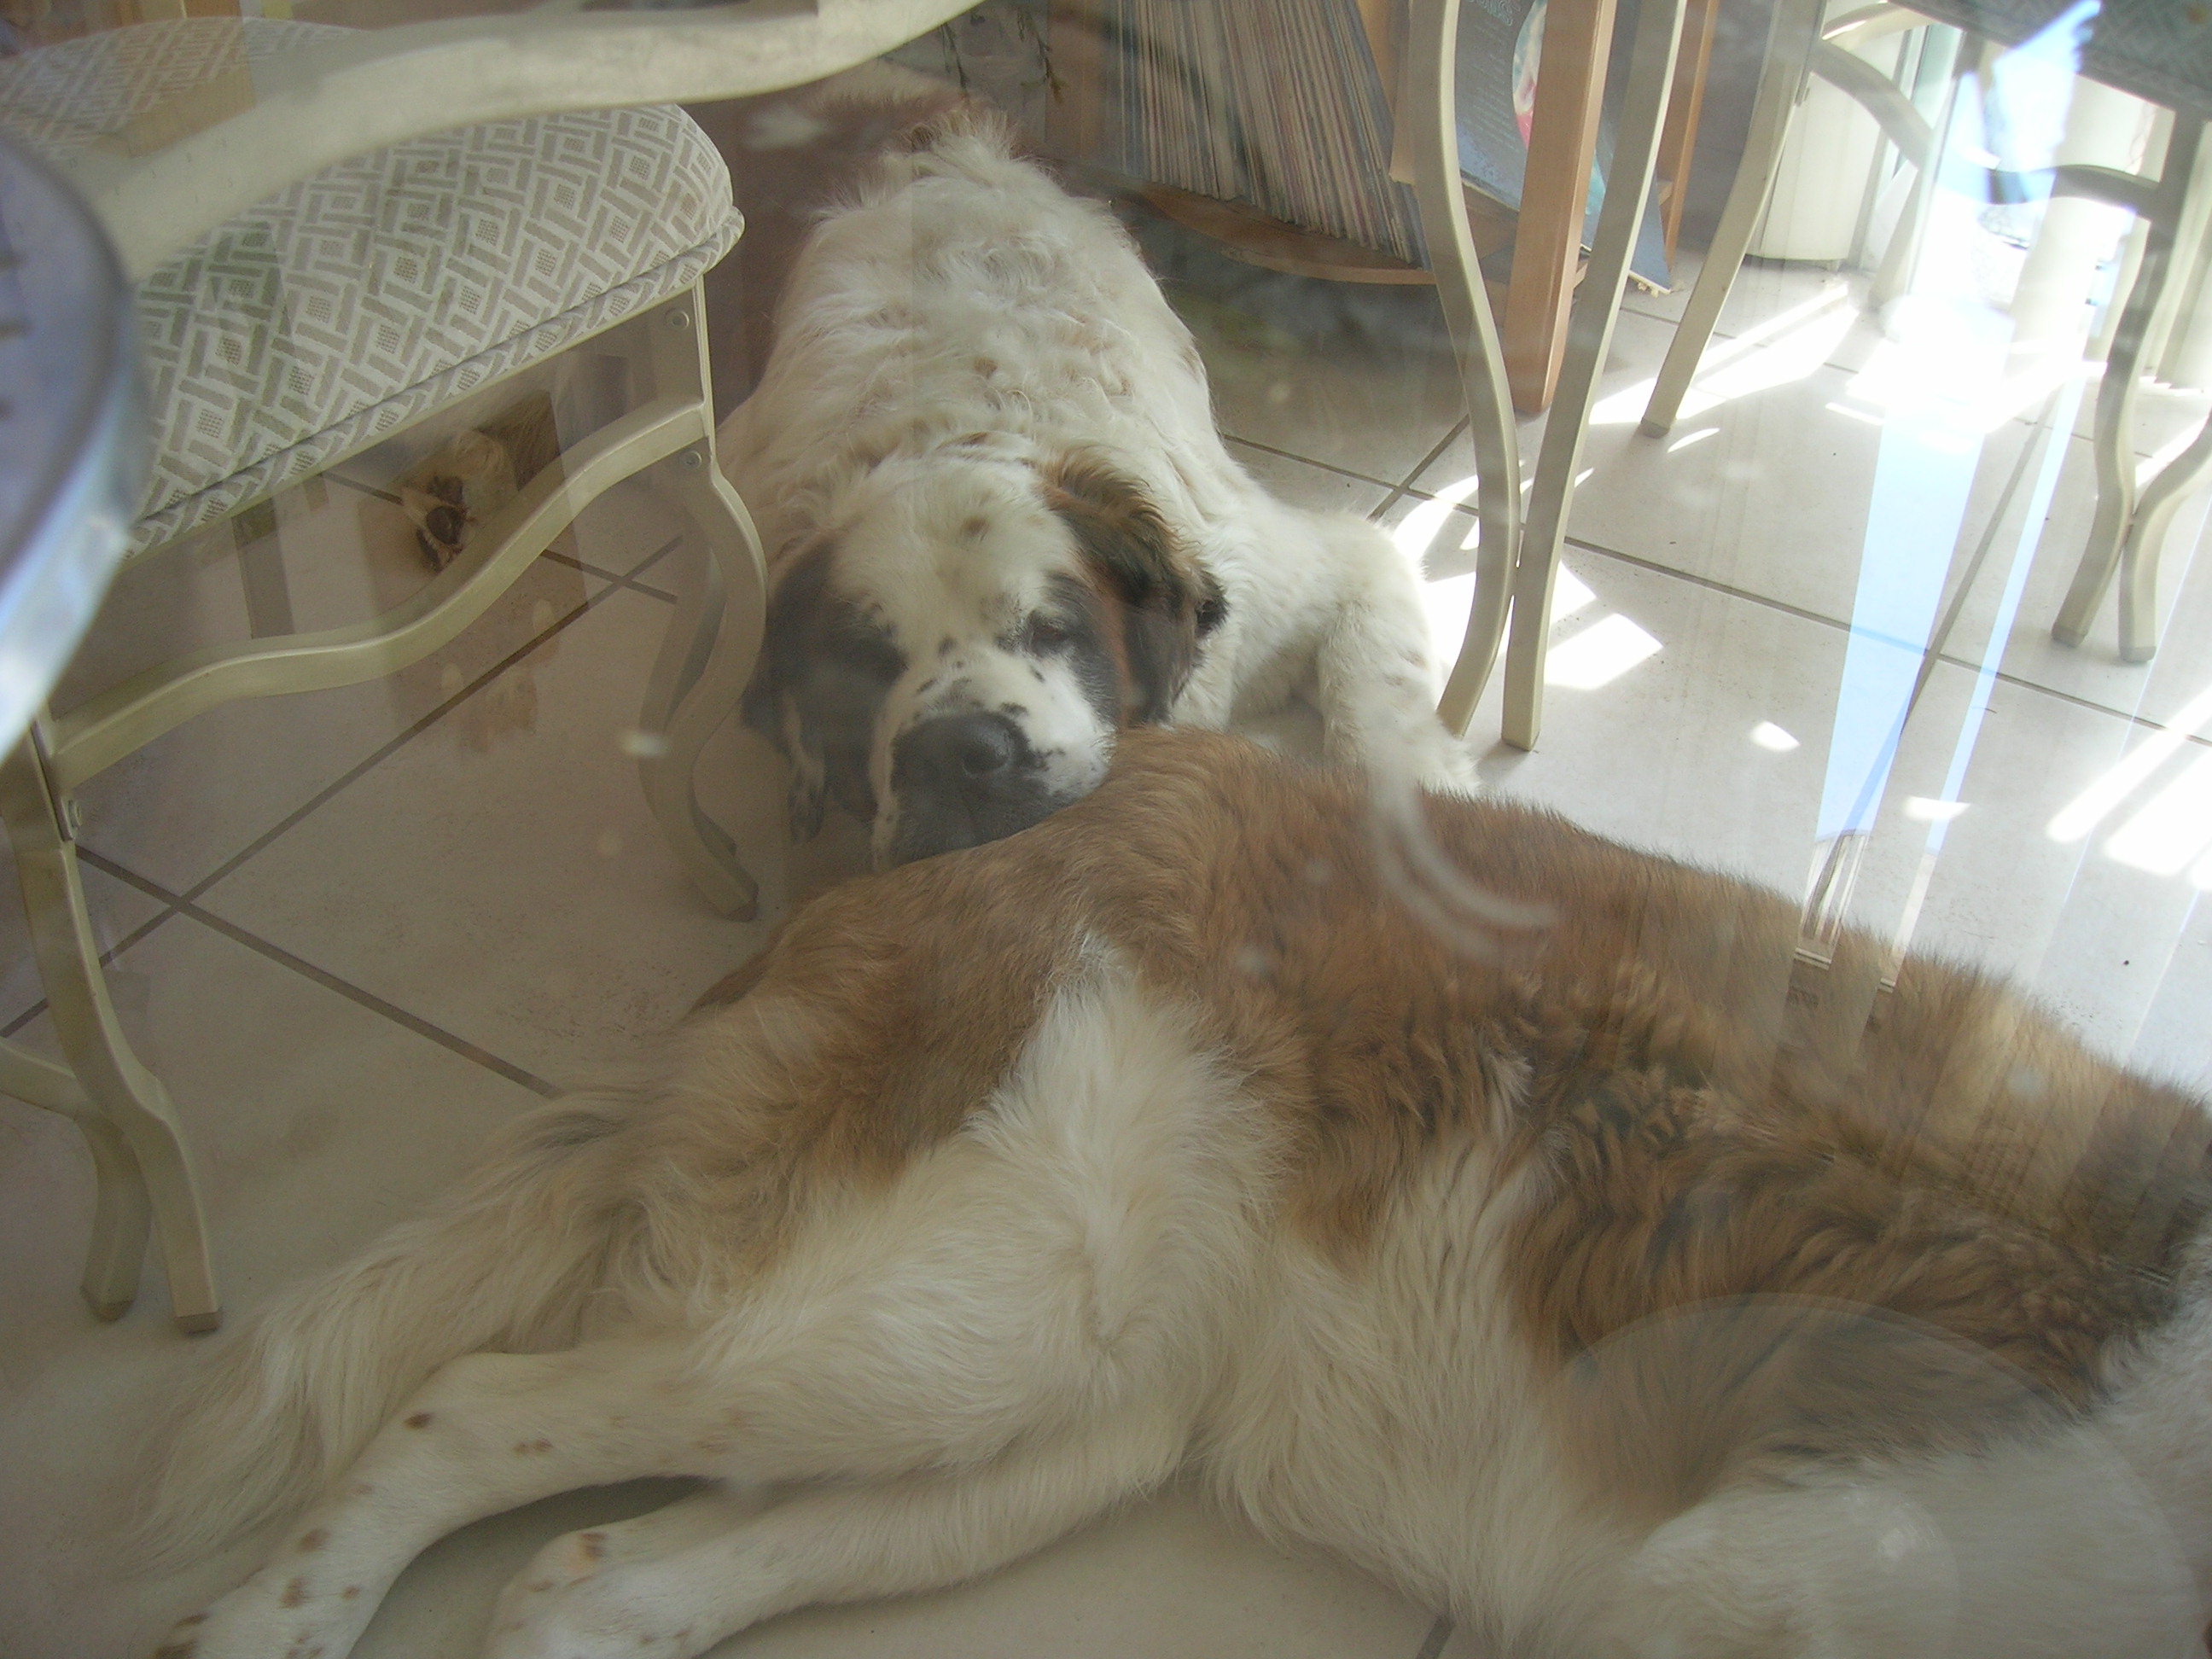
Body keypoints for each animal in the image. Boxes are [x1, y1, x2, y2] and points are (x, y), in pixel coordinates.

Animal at [148, 729, 2212, 1658]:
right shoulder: (1762, 1569)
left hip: (1075, 1416)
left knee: (614, 1572)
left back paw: (582, 1601)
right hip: (955, 1310)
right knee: (465, 1402)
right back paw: (277, 1624)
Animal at [719, 71, 1475, 869]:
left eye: (1053, 630)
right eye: (863, 664)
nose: (955, 750)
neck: (960, 416)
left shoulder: (1312, 572)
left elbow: (1379, 707)